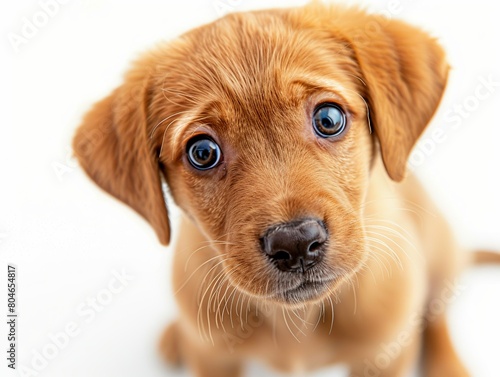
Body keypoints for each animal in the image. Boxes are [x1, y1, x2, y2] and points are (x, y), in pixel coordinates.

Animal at [72, 3, 498, 376]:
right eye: (202, 152)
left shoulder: (384, 355)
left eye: (329, 119)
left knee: (436, 314)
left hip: (440, 252)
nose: (295, 244)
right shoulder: (213, 359)